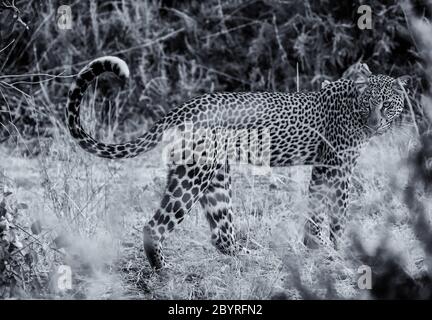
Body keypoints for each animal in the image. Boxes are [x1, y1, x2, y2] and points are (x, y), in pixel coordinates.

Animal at [66, 56, 410, 268]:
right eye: (369, 104)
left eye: (388, 105)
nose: (376, 124)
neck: (352, 104)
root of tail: (183, 108)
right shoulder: (340, 166)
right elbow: (338, 212)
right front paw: (339, 250)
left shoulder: (323, 167)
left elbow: (316, 209)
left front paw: (314, 246)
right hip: (193, 176)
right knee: (155, 226)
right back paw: (162, 270)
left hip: (214, 175)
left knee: (221, 233)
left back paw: (251, 257)